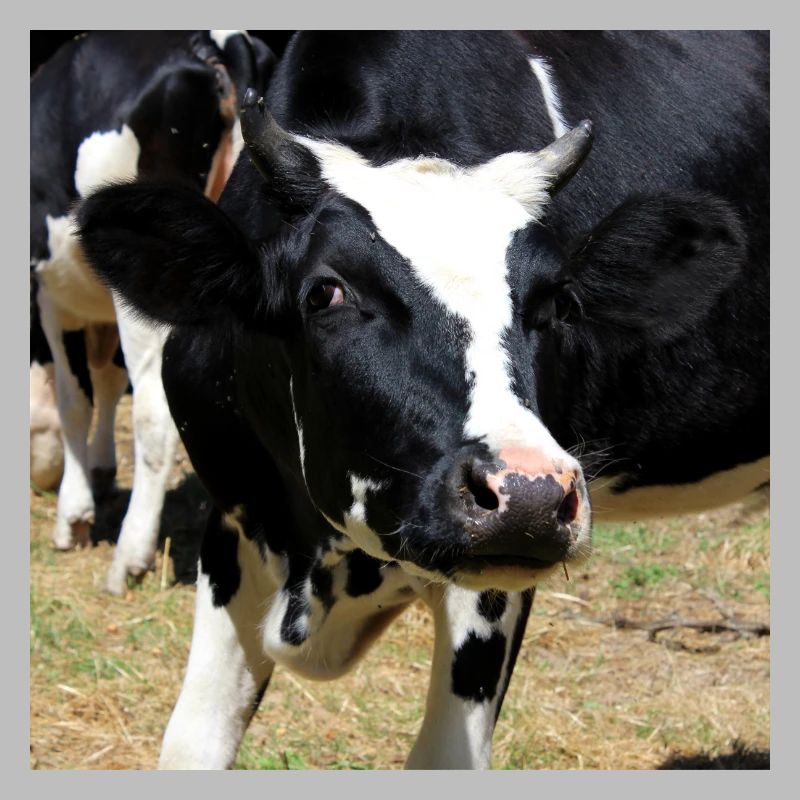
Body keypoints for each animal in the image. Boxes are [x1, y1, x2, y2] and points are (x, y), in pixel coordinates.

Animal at [30, 30, 275, 594]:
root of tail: (211, 44)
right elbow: (106, 381)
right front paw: (101, 471)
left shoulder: (53, 295)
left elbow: (75, 398)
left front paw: (74, 514)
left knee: (154, 412)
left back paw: (130, 556)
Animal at [77, 31, 768, 769]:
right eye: (326, 292)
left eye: (556, 304)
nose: (530, 494)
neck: (320, 562)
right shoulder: (237, 516)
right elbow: (191, 744)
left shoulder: (491, 584)